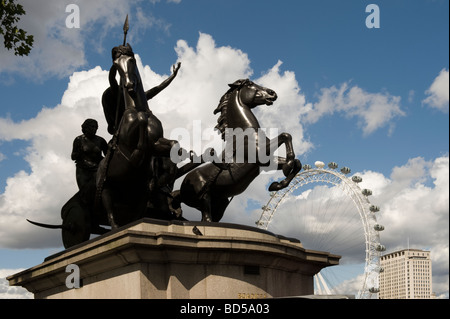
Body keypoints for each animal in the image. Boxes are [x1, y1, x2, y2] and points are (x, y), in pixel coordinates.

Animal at [172, 79, 302, 222]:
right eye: (250, 84)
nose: (272, 93)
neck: (245, 134)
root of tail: (182, 186)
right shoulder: (260, 153)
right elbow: (286, 135)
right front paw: (287, 167)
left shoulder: (267, 162)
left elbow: (298, 163)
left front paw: (276, 184)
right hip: (203, 197)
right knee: (206, 219)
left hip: (220, 203)